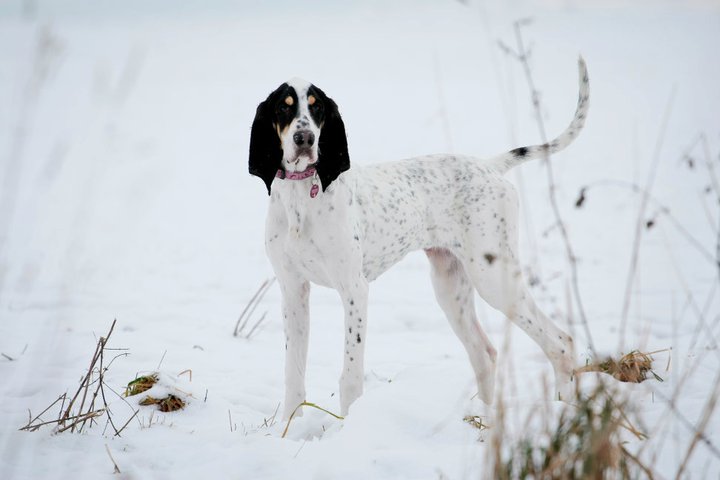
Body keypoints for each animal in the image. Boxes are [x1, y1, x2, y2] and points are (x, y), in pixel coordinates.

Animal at [250, 58, 588, 420]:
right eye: (284, 108)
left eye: (317, 108)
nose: (305, 137)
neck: (300, 199)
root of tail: (490, 166)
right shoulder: (293, 290)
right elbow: (293, 374)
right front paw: (290, 425)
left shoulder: (354, 289)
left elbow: (351, 376)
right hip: (450, 287)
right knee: (485, 354)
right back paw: (485, 417)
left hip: (493, 279)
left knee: (561, 342)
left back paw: (565, 413)